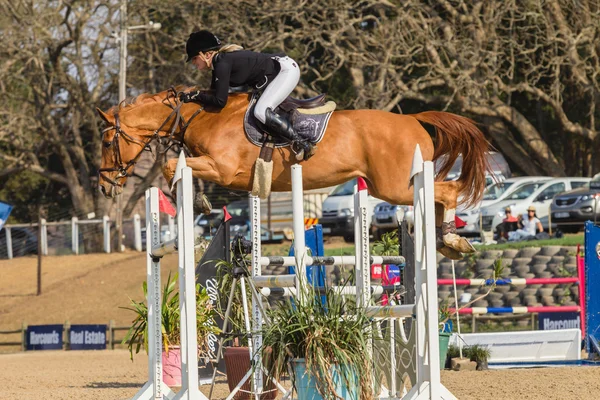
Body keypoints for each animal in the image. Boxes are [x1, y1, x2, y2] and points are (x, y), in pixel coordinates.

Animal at [96, 87, 488, 258]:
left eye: (105, 141)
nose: (104, 186)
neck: (204, 116)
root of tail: (413, 119)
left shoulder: (224, 169)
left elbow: (170, 166)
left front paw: (198, 204)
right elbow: (177, 170)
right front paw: (199, 207)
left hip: (394, 187)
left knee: (448, 191)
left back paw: (452, 240)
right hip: (391, 186)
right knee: (438, 196)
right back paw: (446, 242)